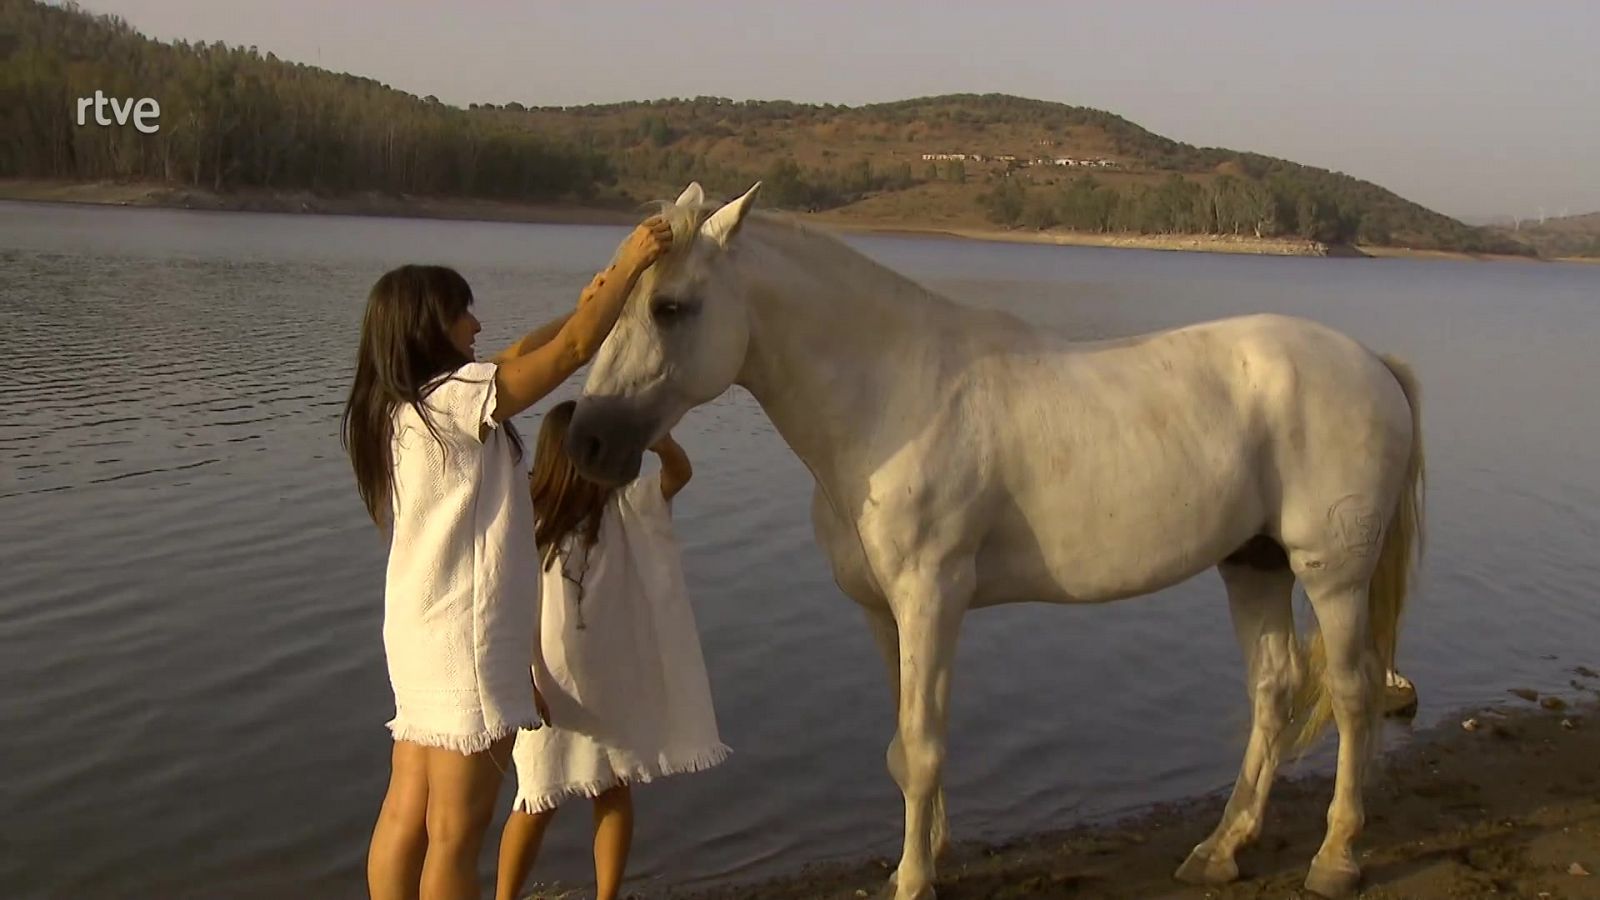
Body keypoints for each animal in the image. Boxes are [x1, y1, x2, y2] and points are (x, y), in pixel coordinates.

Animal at [566, 182, 1427, 896]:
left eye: (670, 306)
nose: (589, 440)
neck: (891, 395)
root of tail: (1369, 363)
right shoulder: (885, 613)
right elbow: (903, 747)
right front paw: (923, 859)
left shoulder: (932, 599)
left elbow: (921, 746)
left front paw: (915, 882)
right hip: (1252, 564)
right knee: (1275, 691)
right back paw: (1221, 850)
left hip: (1331, 575)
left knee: (1351, 694)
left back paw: (1334, 859)